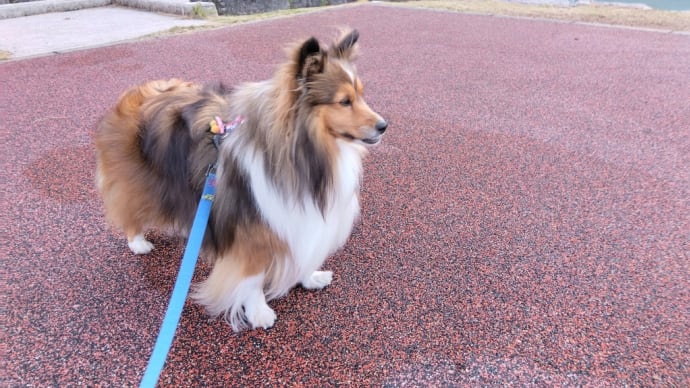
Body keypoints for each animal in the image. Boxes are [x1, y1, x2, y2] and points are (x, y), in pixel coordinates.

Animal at [94, 29, 388, 330]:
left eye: (360, 95)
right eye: (344, 101)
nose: (383, 126)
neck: (305, 154)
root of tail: (136, 92)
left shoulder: (298, 218)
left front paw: (310, 278)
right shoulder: (252, 231)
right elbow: (253, 277)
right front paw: (258, 312)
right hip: (138, 182)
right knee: (130, 209)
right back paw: (138, 242)